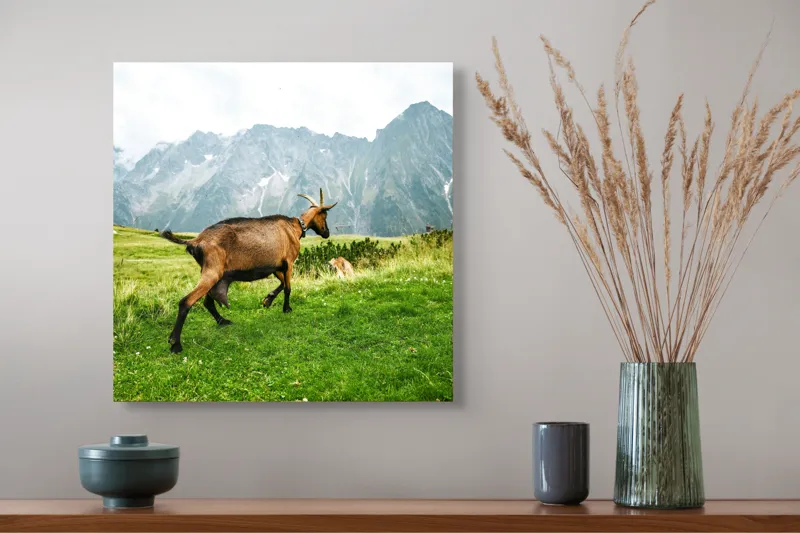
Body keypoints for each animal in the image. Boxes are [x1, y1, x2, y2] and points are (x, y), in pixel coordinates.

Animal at [159, 188, 338, 354]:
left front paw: (267, 300)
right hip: (212, 271)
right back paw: (175, 343)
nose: (327, 233)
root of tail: (195, 241)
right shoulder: (289, 262)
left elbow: (281, 284)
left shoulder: (276, 267)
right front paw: (286, 309)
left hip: (214, 273)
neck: (294, 227)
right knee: (186, 302)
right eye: (325, 215)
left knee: (207, 301)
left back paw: (223, 321)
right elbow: (288, 288)